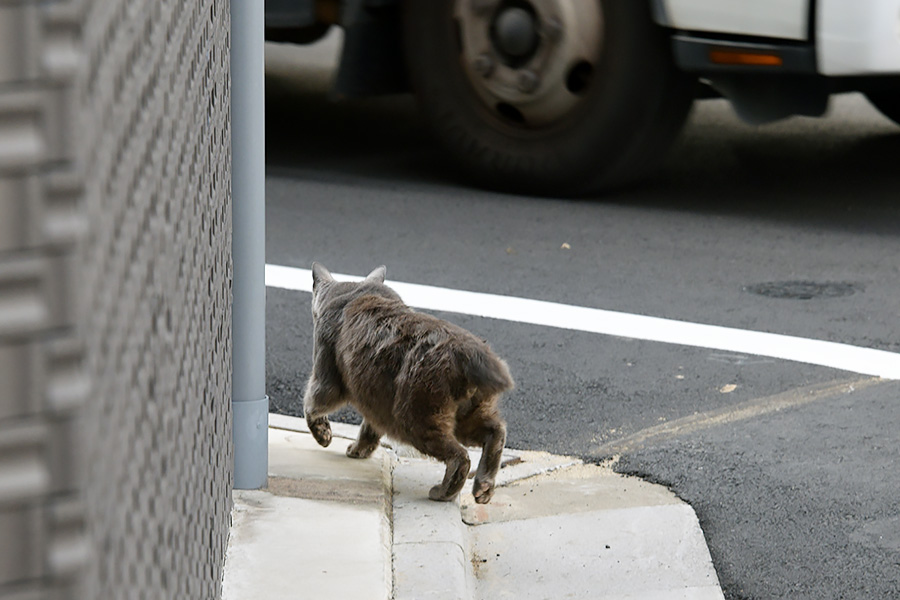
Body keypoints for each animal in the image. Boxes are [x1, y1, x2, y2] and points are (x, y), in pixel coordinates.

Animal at [302, 262, 512, 502]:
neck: (357, 291)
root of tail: (468, 352)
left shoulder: (327, 376)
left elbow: (312, 404)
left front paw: (323, 435)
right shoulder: (375, 399)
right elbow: (370, 428)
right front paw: (359, 449)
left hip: (414, 416)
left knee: (460, 457)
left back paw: (443, 492)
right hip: (466, 412)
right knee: (496, 432)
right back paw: (483, 487)